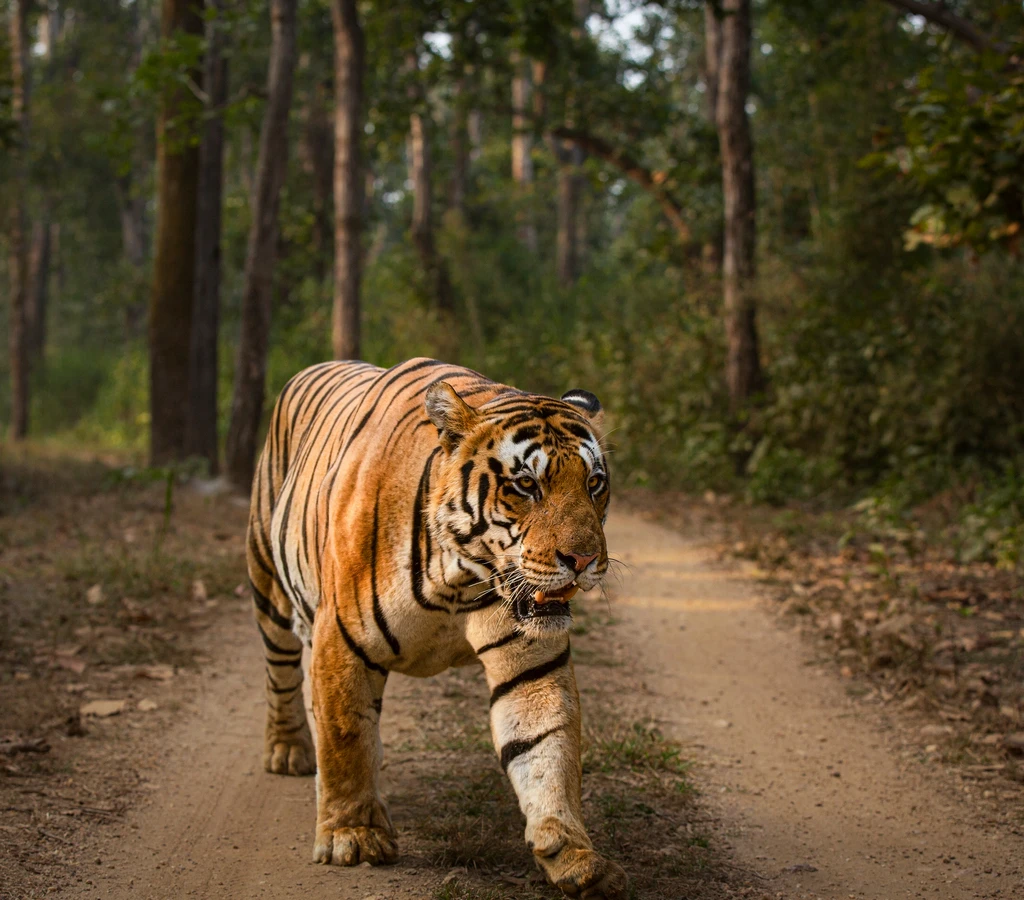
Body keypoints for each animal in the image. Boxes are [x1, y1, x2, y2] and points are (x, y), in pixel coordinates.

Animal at [247, 358, 626, 900]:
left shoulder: (532, 662)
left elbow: (547, 747)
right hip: (269, 586)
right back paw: (289, 750)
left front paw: (573, 855)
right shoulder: (341, 639)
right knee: (280, 672)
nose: (584, 559)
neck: (461, 577)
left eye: (594, 483)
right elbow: (345, 737)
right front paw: (352, 836)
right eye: (526, 486)